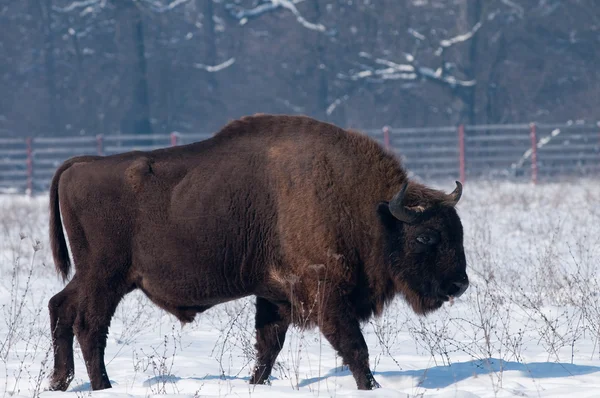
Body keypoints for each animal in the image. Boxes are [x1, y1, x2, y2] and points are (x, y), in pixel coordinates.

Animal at [47, 113, 468, 390]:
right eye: (426, 237)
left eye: (458, 232)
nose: (460, 284)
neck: (369, 209)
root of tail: (80, 165)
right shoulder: (326, 296)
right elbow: (354, 347)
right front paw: (372, 387)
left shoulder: (274, 296)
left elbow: (268, 347)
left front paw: (256, 383)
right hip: (106, 277)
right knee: (90, 325)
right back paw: (102, 386)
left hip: (93, 277)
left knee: (60, 307)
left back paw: (60, 382)